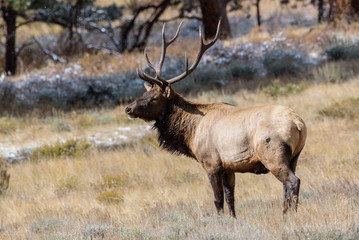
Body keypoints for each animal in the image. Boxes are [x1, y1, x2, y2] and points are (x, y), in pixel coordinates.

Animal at [126, 21, 306, 217]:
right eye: (144, 93)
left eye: (154, 98)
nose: (128, 108)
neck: (191, 134)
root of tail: (299, 124)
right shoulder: (228, 168)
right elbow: (230, 197)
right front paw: (233, 218)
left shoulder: (211, 163)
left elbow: (217, 199)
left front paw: (220, 220)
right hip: (295, 157)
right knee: (287, 186)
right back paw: (285, 213)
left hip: (273, 154)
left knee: (292, 182)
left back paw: (290, 214)